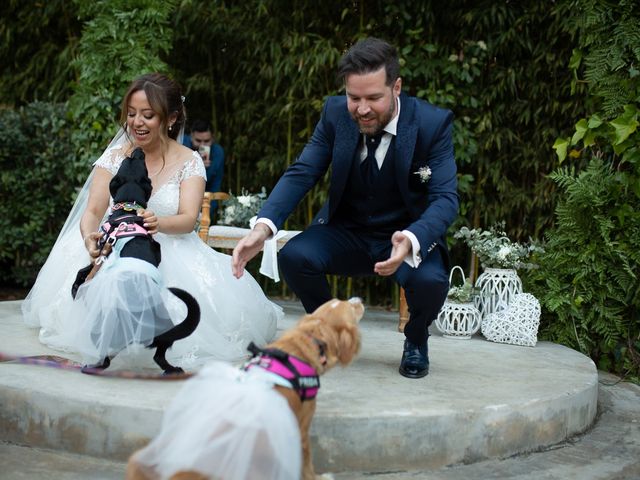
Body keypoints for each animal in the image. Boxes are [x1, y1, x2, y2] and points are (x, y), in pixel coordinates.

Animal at [72, 148, 200, 374]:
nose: (137, 150)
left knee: (110, 357)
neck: (128, 211)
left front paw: (76, 287)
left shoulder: (103, 250)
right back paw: (172, 369)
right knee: (158, 355)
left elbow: (84, 270)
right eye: (131, 160)